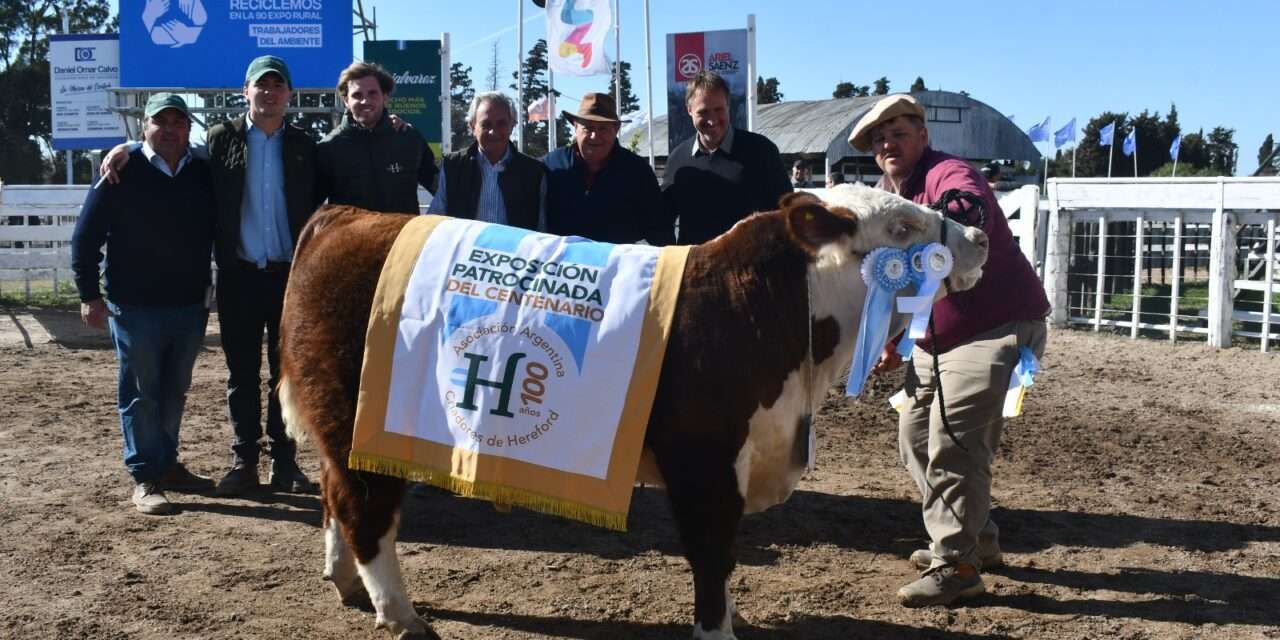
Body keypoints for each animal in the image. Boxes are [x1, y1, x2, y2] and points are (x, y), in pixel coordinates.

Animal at [277, 183, 988, 637]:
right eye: (901, 227)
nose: (980, 235)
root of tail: (344, 214)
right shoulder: (705, 461)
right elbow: (712, 550)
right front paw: (717, 628)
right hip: (355, 420)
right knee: (365, 509)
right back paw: (400, 614)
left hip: (341, 431)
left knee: (334, 497)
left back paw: (345, 583)